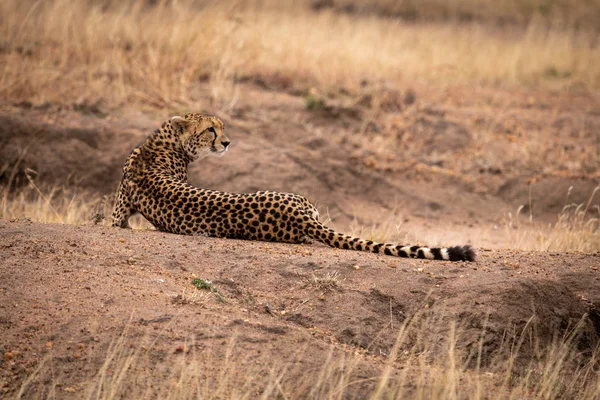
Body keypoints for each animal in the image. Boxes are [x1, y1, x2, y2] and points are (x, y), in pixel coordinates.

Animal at [112, 113, 476, 262]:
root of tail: (297, 215)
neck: (164, 141)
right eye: (210, 130)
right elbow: (116, 223)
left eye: (221, 128)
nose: (227, 143)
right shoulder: (120, 212)